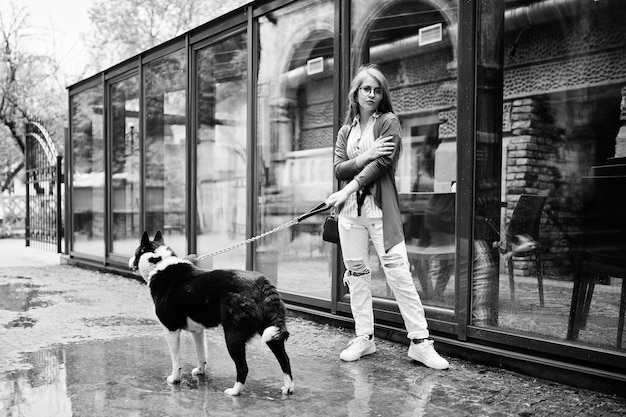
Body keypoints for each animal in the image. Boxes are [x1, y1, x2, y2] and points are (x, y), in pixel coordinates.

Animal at [128, 232, 294, 394]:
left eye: (136, 252)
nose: (130, 261)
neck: (159, 264)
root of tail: (261, 284)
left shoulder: (171, 329)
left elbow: (176, 360)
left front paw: (174, 379)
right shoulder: (197, 331)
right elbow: (201, 354)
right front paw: (201, 371)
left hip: (233, 336)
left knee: (243, 367)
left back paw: (234, 391)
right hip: (270, 332)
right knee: (285, 360)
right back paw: (288, 388)